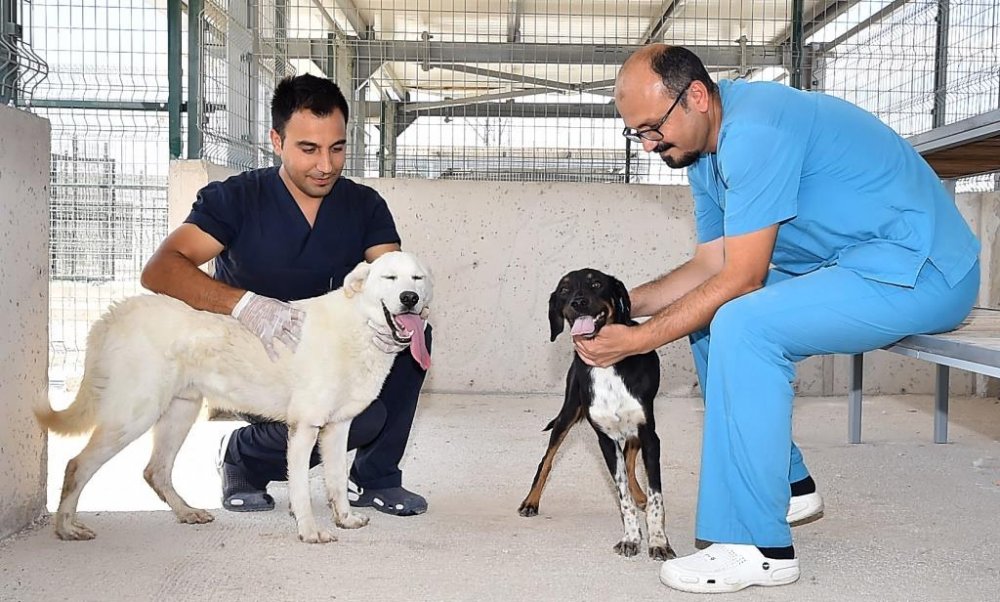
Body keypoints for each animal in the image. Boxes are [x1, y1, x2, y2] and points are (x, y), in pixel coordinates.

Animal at [35, 251, 432, 544]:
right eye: (389, 278)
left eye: (417, 278)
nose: (410, 299)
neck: (358, 326)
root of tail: (115, 312)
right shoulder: (304, 427)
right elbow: (301, 487)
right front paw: (309, 531)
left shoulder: (337, 428)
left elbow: (335, 480)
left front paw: (345, 518)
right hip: (134, 415)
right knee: (77, 465)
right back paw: (66, 528)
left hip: (180, 413)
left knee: (155, 471)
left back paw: (186, 512)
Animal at [518, 268, 675, 560]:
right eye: (564, 289)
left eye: (596, 283)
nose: (578, 302)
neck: (607, 368)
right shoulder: (606, 441)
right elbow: (622, 495)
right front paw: (631, 538)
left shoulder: (650, 436)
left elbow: (656, 496)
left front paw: (658, 541)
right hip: (568, 412)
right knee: (546, 460)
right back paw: (531, 501)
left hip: (636, 428)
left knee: (630, 459)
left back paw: (640, 496)